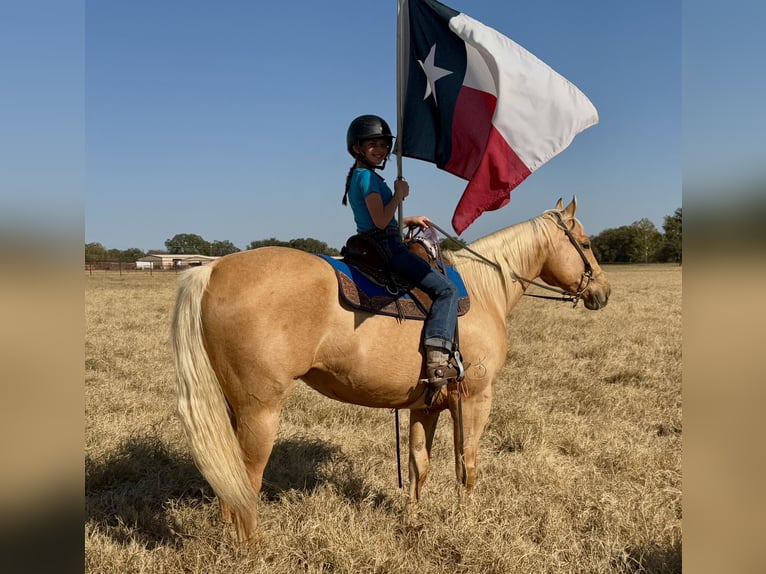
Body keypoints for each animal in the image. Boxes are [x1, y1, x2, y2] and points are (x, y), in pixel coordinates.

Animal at [170, 197, 611, 542]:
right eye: (587, 243)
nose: (603, 292)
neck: (484, 291)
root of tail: (212, 270)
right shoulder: (475, 400)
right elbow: (465, 464)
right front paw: (466, 522)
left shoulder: (426, 404)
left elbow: (420, 465)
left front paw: (412, 522)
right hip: (260, 411)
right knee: (248, 479)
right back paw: (253, 548)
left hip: (233, 407)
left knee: (229, 479)